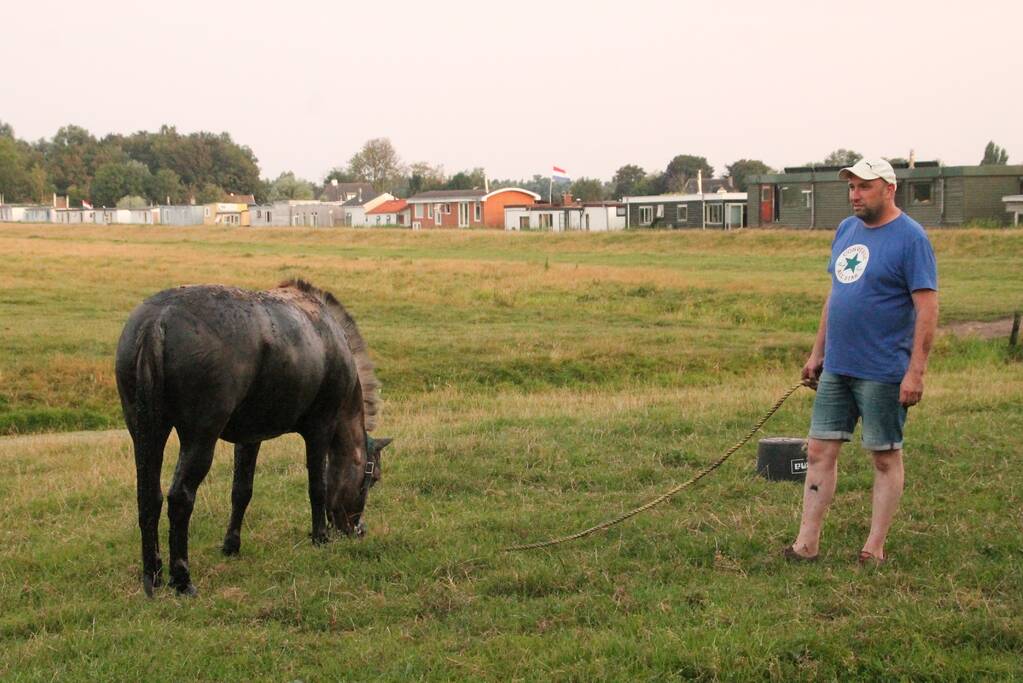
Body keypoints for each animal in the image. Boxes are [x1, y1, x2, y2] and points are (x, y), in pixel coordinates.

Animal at [115, 279, 391, 597]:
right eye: (372, 478)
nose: (358, 530)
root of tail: (157, 321)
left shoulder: (249, 437)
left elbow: (241, 491)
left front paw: (231, 545)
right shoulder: (320, 428)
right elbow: (318, 486)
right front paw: (320, 536)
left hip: (145, 430)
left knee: (149, 495)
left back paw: (153, 576)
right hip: (200, 437)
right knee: (179, 497)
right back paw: (182, 579)